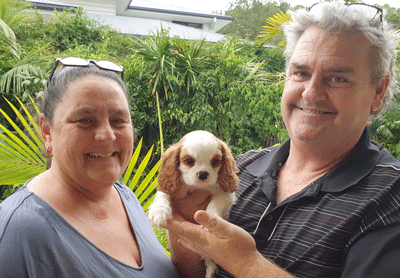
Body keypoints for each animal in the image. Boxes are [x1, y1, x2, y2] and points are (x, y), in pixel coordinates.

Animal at [148, 130, 239, 278]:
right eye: (189, 161)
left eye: (215, 161)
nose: (203, 174)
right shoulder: (170, 185)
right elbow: (162, 194)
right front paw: (159, 211)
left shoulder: (226, 194)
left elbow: (215, 203)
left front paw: (209, 219)